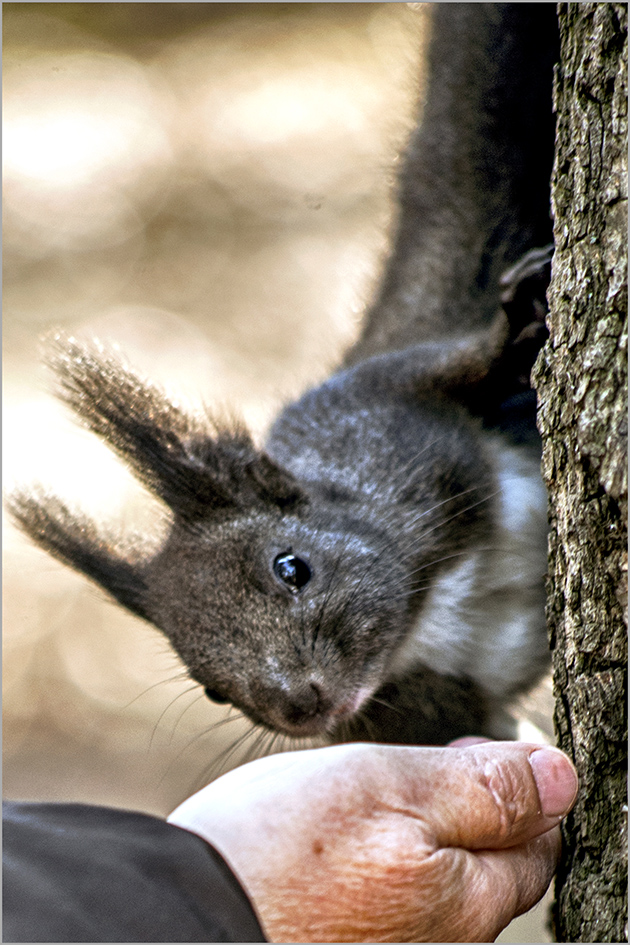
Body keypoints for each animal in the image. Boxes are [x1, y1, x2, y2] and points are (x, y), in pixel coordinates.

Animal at [8, 5, 564, 744]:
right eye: (211, 689)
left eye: (291, 566)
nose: (300, 705)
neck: (424, 617)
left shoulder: (383, 401)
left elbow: (467, 369)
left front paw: (517, 320)